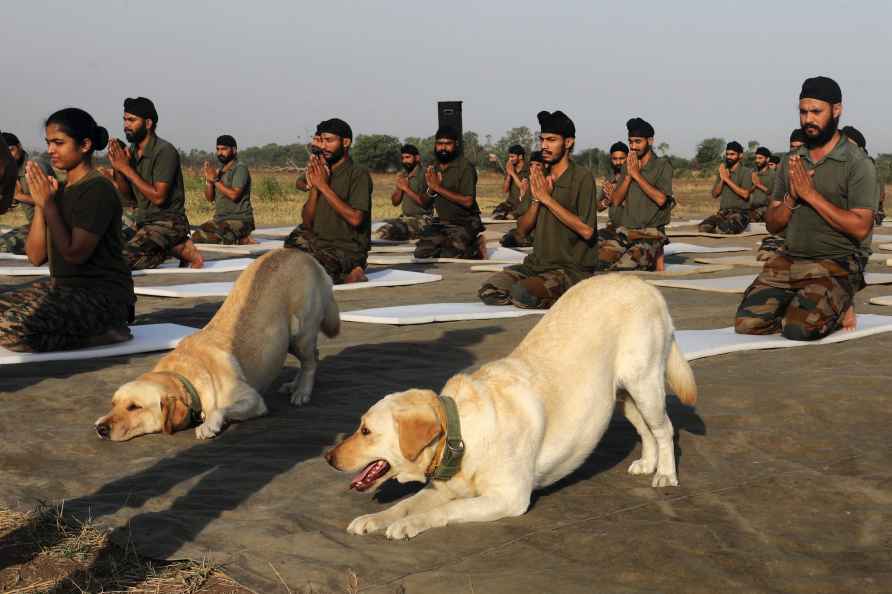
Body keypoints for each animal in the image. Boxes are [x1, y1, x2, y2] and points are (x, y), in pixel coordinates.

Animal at [94, 246, 338, 440]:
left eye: (134, 407)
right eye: (114, 404)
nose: (101, 428)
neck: (184, 378)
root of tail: (303, 255)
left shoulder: (252, 399)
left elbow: (220, 410)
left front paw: (209, 424)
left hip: (301, 333)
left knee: (311, 360)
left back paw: (302, 391)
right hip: (288, 341)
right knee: (313, 356)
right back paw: (294, 385)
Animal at [328, 272, 696, 536]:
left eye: (365, 430)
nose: (328, 458)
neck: (460, 434)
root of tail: (643, 283)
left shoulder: (508, 498)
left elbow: (443, 511)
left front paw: (406, 525)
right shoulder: (444, 488)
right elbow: (406, 504)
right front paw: (376, 518)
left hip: (645, 384)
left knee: (665, 429)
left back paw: (665, 473)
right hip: (625, 395)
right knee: (647, 430)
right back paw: (647, 464)